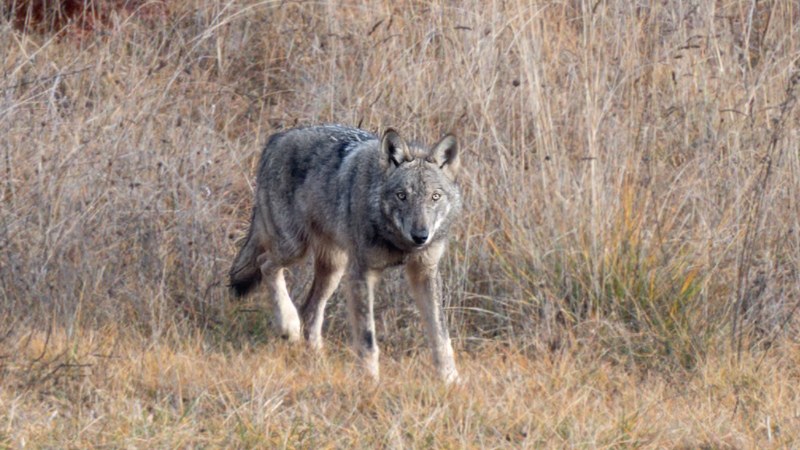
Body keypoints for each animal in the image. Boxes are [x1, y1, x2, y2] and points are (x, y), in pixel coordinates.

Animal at [229, 124, 462, 383]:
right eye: (402, 195)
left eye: (435, 196)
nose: (421, 236)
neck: (397, 242)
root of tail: (277, 138)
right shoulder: (362, 272)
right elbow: (367, 337)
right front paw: (369, 380)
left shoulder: (424, 273)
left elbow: (440, 336)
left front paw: (450, 380)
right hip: (295, 249)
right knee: (265, 264)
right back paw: (288, 326)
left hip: (334, 268)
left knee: (309, 311)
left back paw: (318, 362)